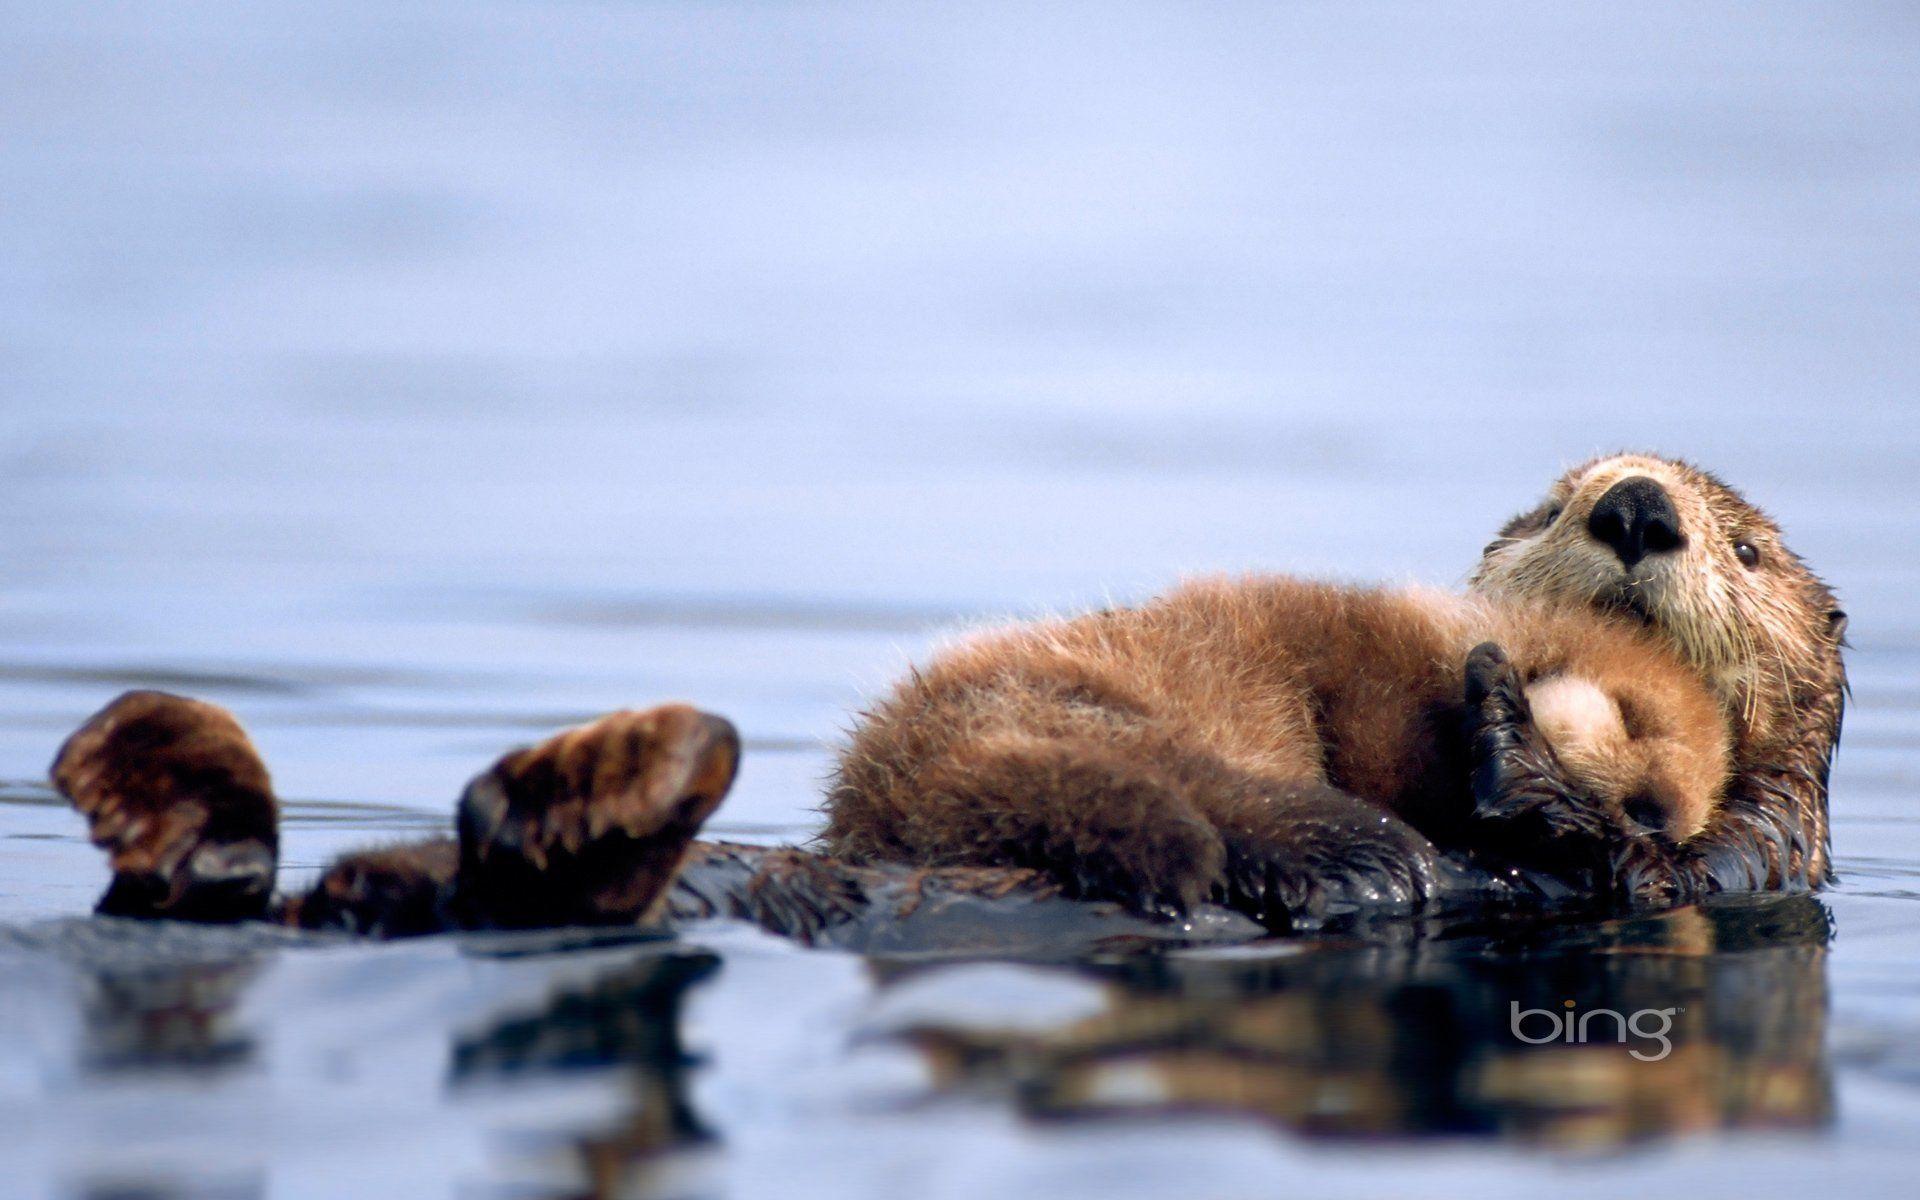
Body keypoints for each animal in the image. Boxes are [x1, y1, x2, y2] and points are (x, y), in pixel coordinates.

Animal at [42, 454, 1844, 944]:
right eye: (1552, 499)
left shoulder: (1738, 852)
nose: (1638, 509)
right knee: (1197, 810)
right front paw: (1506, 736)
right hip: (1058, 720)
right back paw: (1338, 857)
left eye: (1748, 549)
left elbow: (1628, 860)